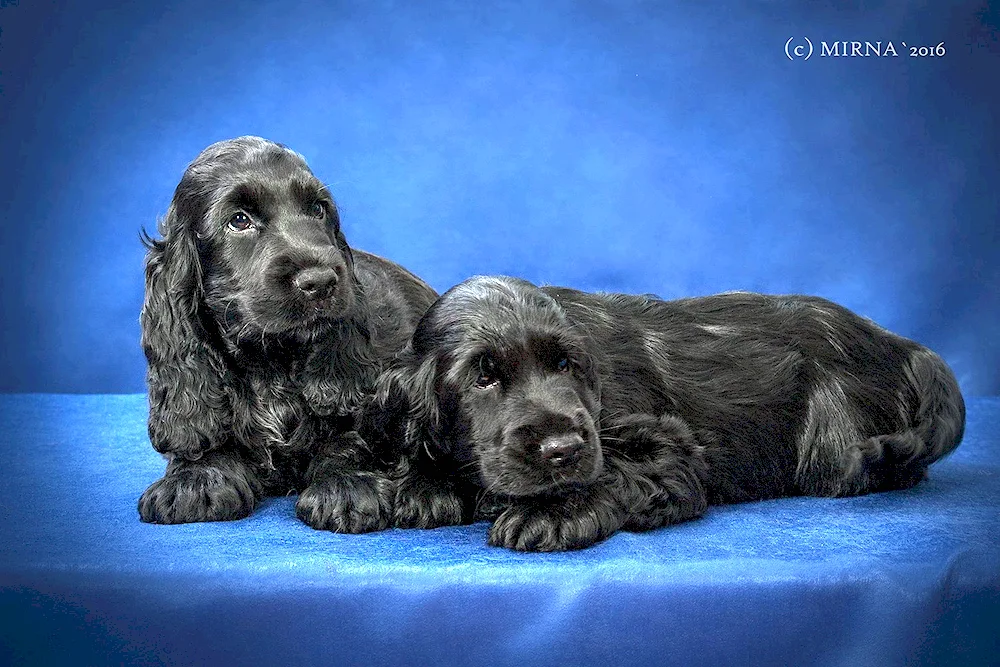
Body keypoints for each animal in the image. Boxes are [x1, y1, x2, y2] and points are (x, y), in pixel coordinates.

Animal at [139, 136, 436, 532]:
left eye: (318, 210)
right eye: (239, 220)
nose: (321, 282)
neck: (271, 361)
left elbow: (347, 439)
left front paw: (346, 485)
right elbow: (204, 436)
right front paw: (196, 478)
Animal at [378, 276, 964, 552]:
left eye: (565, 363)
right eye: (483, 377)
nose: (562, 450)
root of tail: (901, 344)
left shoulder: (669, 446)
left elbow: (620, 470)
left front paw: (549, 515)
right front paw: (425, 487)